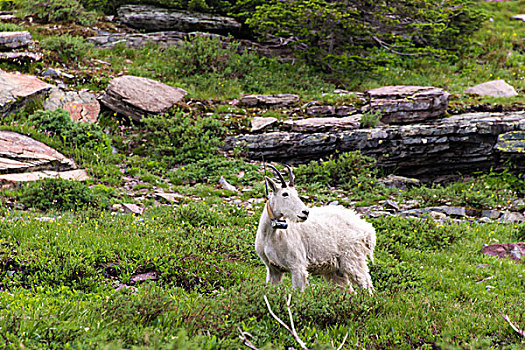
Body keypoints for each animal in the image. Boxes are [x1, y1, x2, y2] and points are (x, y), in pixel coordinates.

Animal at [255, 164, 374, 292]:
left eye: (296, 193)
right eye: (285, 194)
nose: (305, 212)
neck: (271, 234)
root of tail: (367, 229)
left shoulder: (297, 266)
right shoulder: (273, 269)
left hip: (353, 258)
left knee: (365, 284)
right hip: (335, 269)